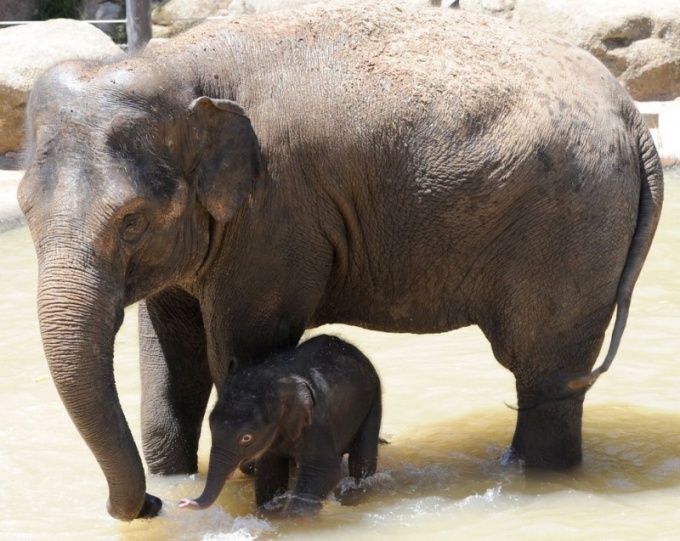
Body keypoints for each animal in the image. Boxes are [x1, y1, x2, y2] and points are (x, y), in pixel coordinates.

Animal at [179, 334, 382, 516]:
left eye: (246, 438)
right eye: (210, 424)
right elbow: (270, 473)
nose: (182, 502)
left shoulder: (317, 422)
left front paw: (291, 521)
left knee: (361, 460)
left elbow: (324, 471)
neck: (277, 378)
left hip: (372, 400)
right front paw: (269, 513)